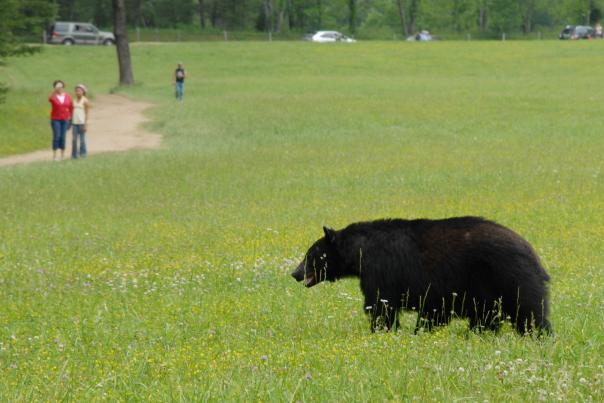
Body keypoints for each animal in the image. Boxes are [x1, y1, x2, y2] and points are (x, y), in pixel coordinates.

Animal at [292, 218, 552, 338]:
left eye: (310, 254)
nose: (295, 273)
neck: (359, 251)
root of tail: (533, 254)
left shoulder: (380, 271)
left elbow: (380, 306)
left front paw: (382, 331)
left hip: (510, 278)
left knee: (529, 312)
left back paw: (539, 337)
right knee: (487, 317)